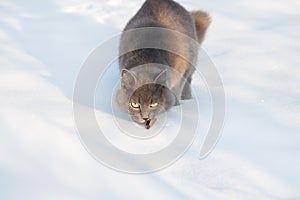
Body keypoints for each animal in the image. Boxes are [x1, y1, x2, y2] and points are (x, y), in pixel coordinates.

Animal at [116, 0, 210, 129]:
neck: (147, 57)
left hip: (191, 59)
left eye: (153, 104)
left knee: (188, 80)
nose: (145, 117)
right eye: (135, 104)